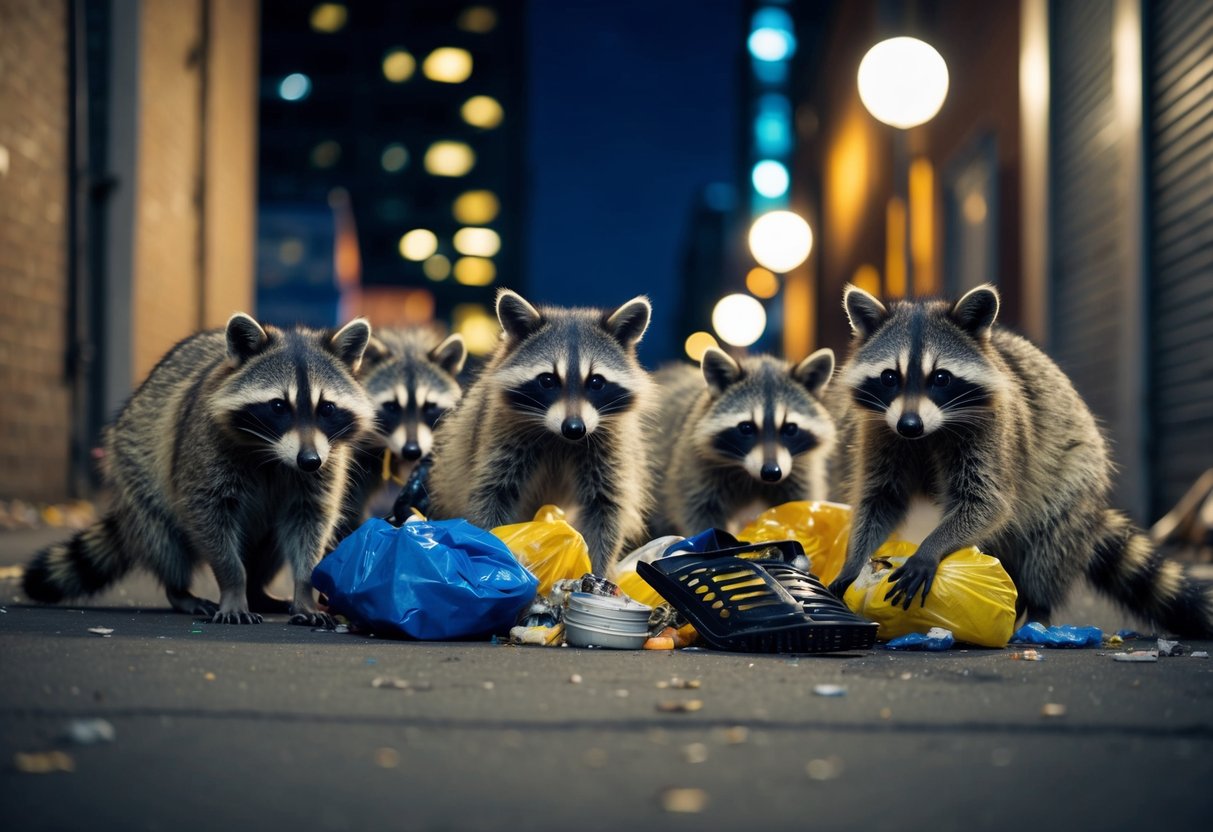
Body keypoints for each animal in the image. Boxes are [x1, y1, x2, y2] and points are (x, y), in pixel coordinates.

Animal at [22, 314, 375, 625]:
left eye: (326, 408)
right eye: (278, 406)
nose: (309, 461)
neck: (274, 456)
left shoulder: (326, 463)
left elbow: (310, 521)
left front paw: (304, 590)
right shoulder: (204, 451)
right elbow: (207, 515)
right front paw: (233, 586)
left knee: (270, 544)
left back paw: (258, 591)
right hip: (134, 469)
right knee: (164, 538)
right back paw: (180, 591)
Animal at [427, 289, 653, 574]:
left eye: (596, 382)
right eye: (547, 380)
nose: (574, 429)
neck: (559, 437)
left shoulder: (609, 447)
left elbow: (605, 508)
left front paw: (596, 572)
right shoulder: (500, 434)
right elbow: (491, 495)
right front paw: (494, 555)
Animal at [648, 347, 837, 536]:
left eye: (790, 429)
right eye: (746, 428)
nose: (771, 472)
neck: (748, 474)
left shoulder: (800, 472)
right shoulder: (692, 469)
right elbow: (699, 515)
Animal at [827, 284, 1213, 638]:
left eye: (941, 378)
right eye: (890, 377)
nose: (910, 425)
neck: (928, 433)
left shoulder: (994, 432)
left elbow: (986, 502)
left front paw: (930, 549)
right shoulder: (881, 432)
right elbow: (881, 499)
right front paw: (854, 562)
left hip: (1071, 480)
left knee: (1047, 550)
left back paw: (1037, 612)